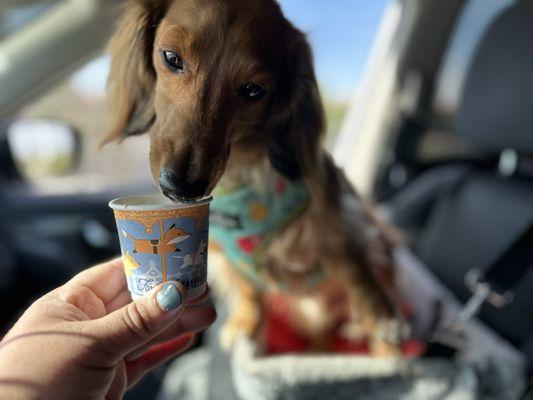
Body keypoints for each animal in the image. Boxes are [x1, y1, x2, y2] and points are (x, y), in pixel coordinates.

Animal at [103, 0, 404, 356]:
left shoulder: (334, 223)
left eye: (253, 90)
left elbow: (355, 273)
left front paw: (384, 323)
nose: (180, 188)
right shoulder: (224, 253)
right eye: (171, 58)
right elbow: (247, 286)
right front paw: (247, 321)